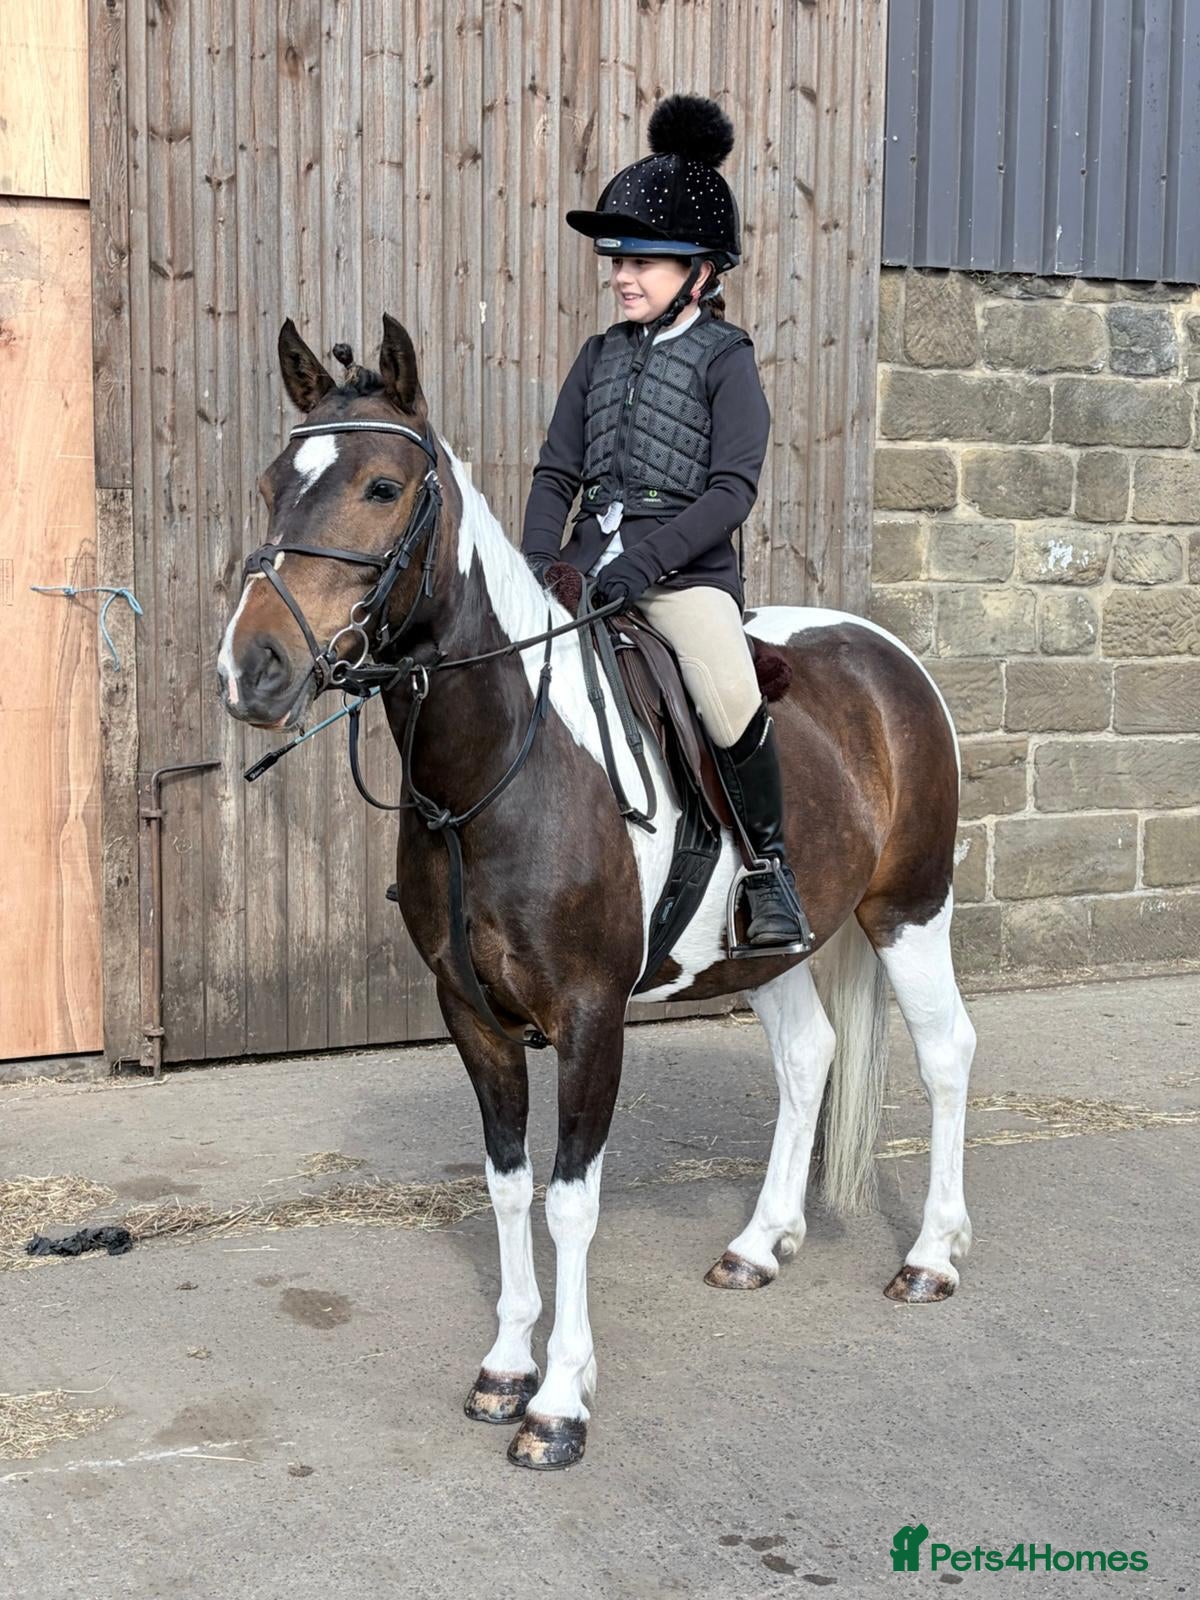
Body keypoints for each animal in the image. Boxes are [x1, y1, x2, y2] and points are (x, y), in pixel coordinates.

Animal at [217, 315, 975, 1471]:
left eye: (384, 486)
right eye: (271, 483)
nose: (251, 669)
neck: (503, 767)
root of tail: (888, 656)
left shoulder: (588, 1015)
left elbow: (572, 1201)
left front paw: (560, 1402)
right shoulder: (471, 1013)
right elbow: (507, 1182)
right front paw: (504, 1367)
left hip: (909, 912)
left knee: (945, 1055)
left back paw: (931, 1255)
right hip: (767, 947)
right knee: (810, 1056)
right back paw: (759, 1243)